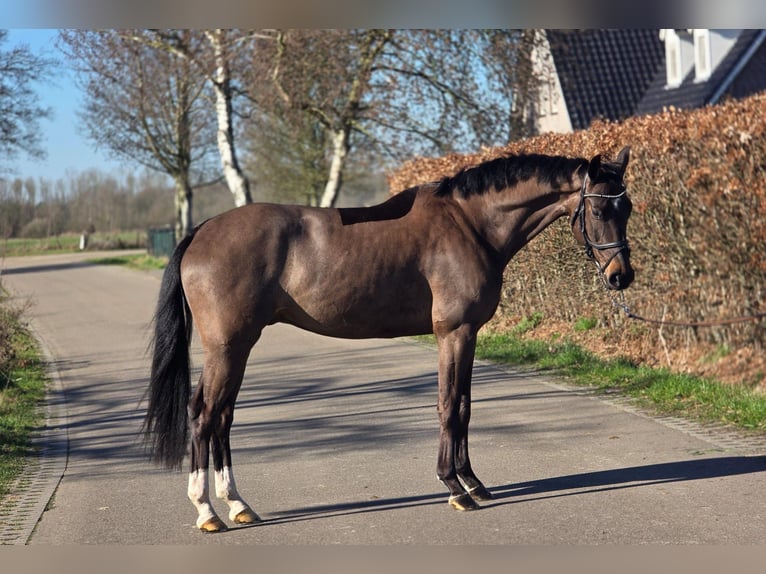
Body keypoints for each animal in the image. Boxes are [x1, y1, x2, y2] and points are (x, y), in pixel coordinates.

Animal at [145, 146, 634, 532]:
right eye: (598, 210)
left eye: (626, 208)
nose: (621, 277)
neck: (469, 224)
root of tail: (203, 230)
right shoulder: (453, 333)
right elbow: (447, 405)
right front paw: (454, 487)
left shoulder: (469, 335)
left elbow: (464, 406)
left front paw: (473, 481)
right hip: (227, 346)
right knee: (205, 414)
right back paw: (208, 511)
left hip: (238, 347)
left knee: (222, 416)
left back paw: (237, 504)